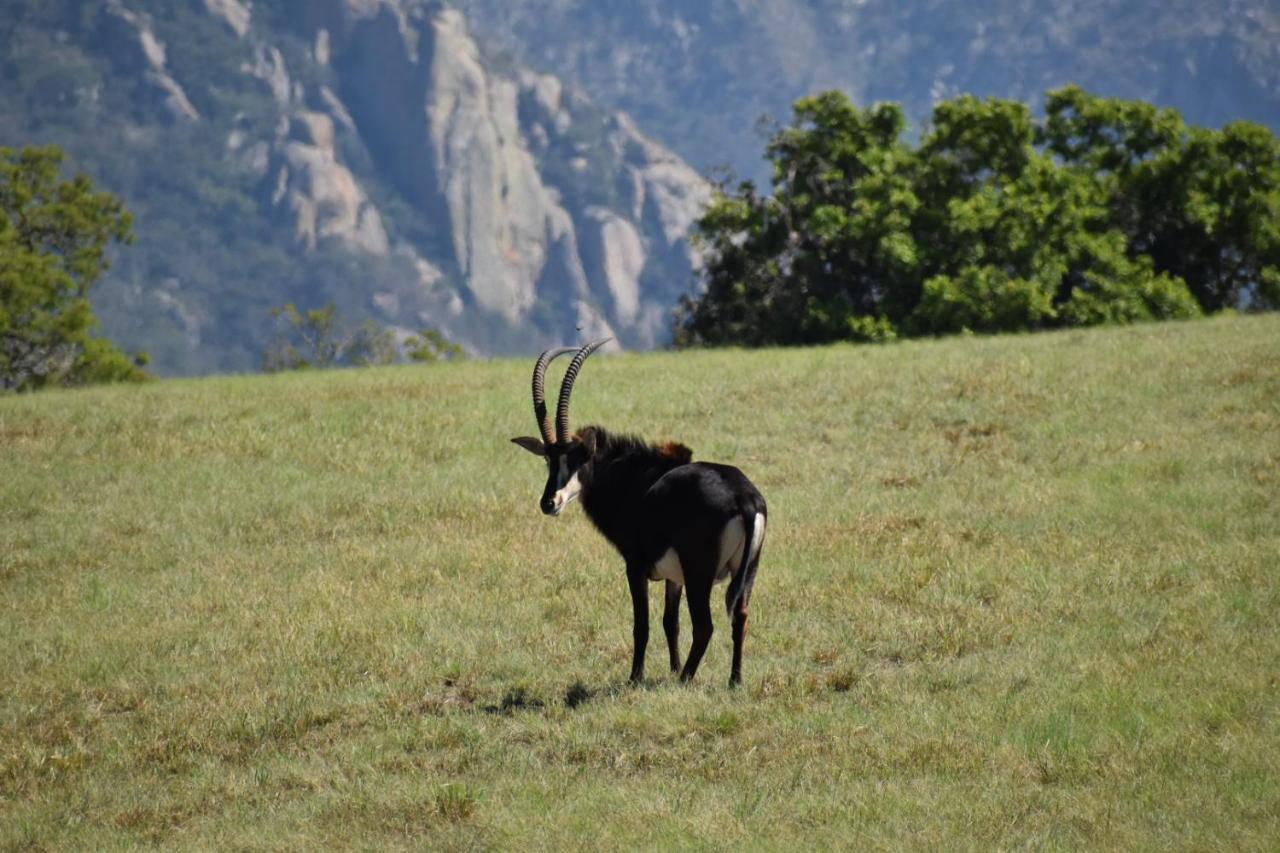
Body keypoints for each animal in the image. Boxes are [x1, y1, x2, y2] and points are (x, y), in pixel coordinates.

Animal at [512, 338, 768, 686]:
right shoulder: (674, 578)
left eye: (578, 458)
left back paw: (686, 679)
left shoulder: (636, 567)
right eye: (549, 460)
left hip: (699, 573)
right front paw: (670, 667)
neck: (634, 479)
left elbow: (642, 625)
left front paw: (636, 678)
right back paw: (733, 680)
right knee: (740, 616)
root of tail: (744, 497)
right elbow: (670, 623)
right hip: (747, 571)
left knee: (705, 626)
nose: (549, 503)